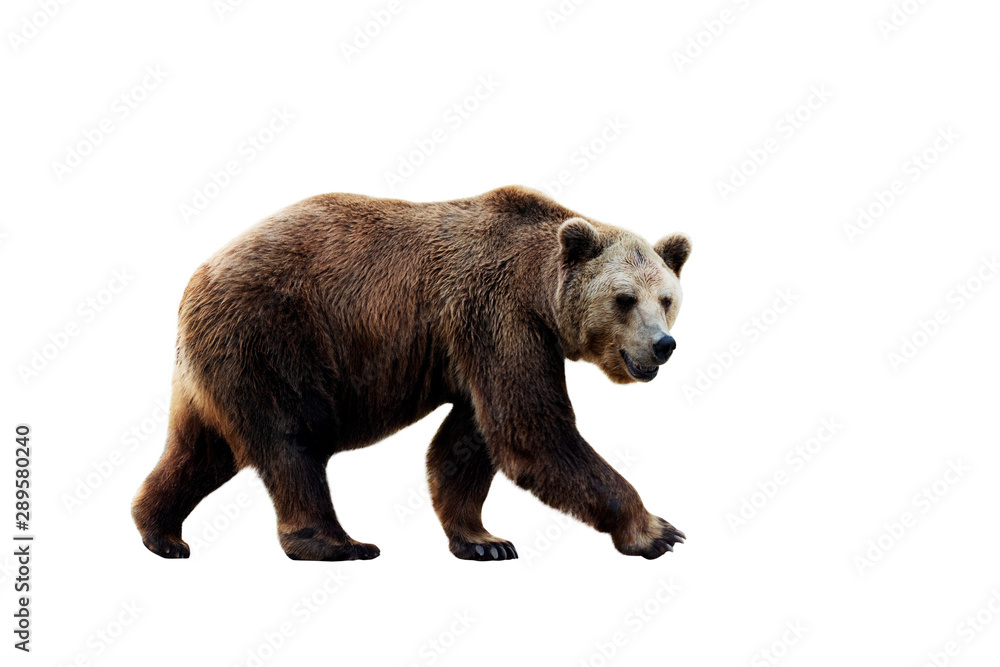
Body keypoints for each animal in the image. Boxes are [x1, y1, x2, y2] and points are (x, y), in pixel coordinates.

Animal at [132, 185, 691, 561]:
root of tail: (196, 278)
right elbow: (532, 430)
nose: (662, 345)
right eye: (624, 299)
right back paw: (336, 542)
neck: (540, 292)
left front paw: (485, 540)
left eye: (666, 299)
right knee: (290, 442)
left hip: (211, 369)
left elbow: (469, 440)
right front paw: (657, 529)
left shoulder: (476, 342)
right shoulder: (500, 315)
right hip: (272, 338)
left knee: (199, 450)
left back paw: (161, 532)